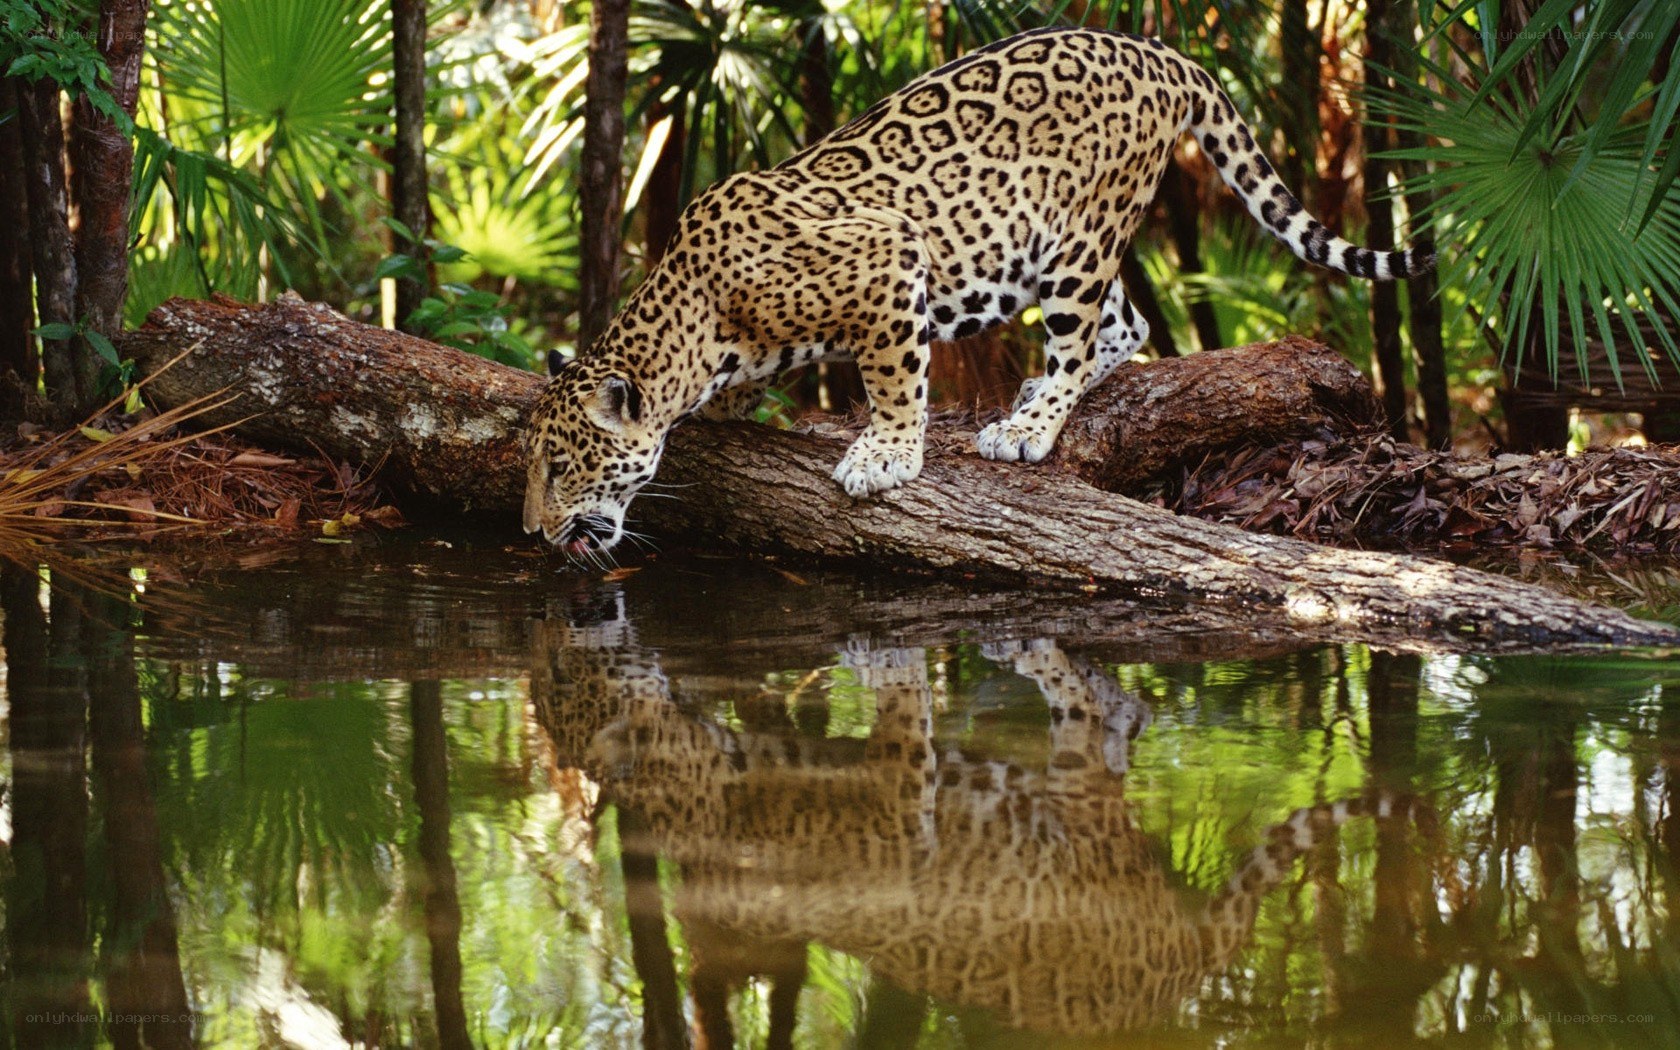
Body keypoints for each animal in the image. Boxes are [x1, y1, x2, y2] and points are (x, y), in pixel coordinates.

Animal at [523, 25, 1435, 555]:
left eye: (563, 465)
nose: (533, 530)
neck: (696, 317)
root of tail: (1159, 51)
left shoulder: (889, 256)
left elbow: (894, 378)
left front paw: (886, 453)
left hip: (1079, 237)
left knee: (1082, 334)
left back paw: (1029, 425)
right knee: (1129, 322)